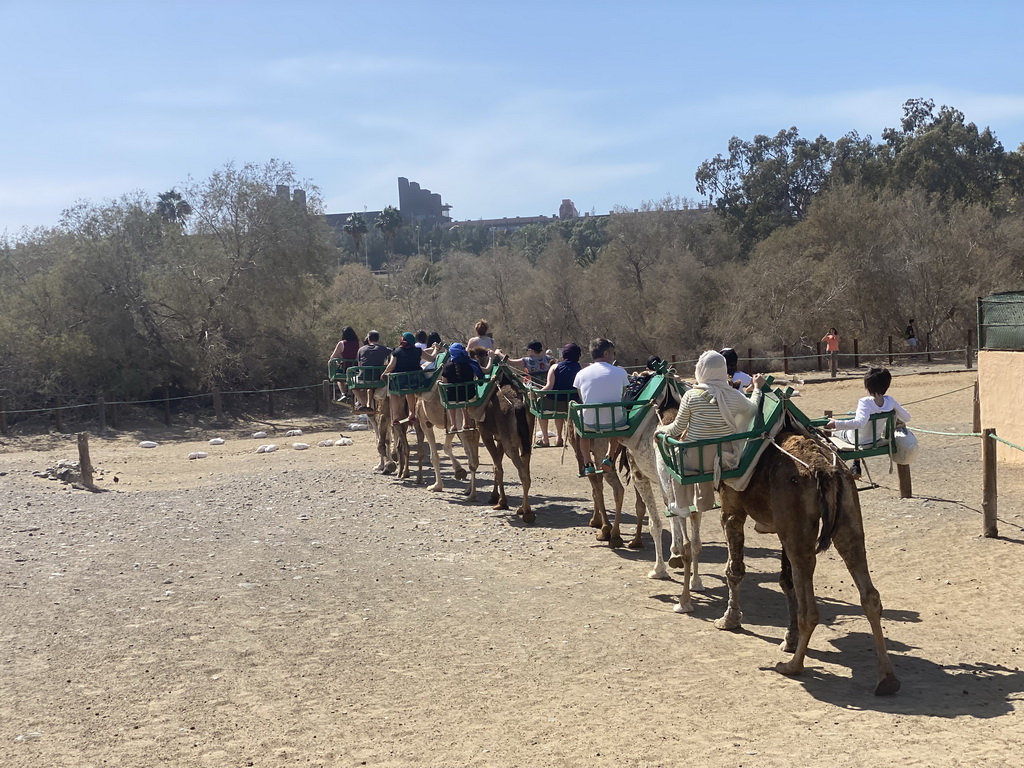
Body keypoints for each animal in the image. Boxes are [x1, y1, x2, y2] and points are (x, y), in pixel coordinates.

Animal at [716, 423, 901, 700]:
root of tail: (824, 470)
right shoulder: (781, 527)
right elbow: (786, 581)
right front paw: (789, 638)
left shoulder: (732, 507)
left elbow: (734, 570)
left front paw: (729, 620)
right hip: (846, 514)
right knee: (868, 592)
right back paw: (887, 679)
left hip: (798, 525)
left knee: (810, 607)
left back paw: (793, 666)